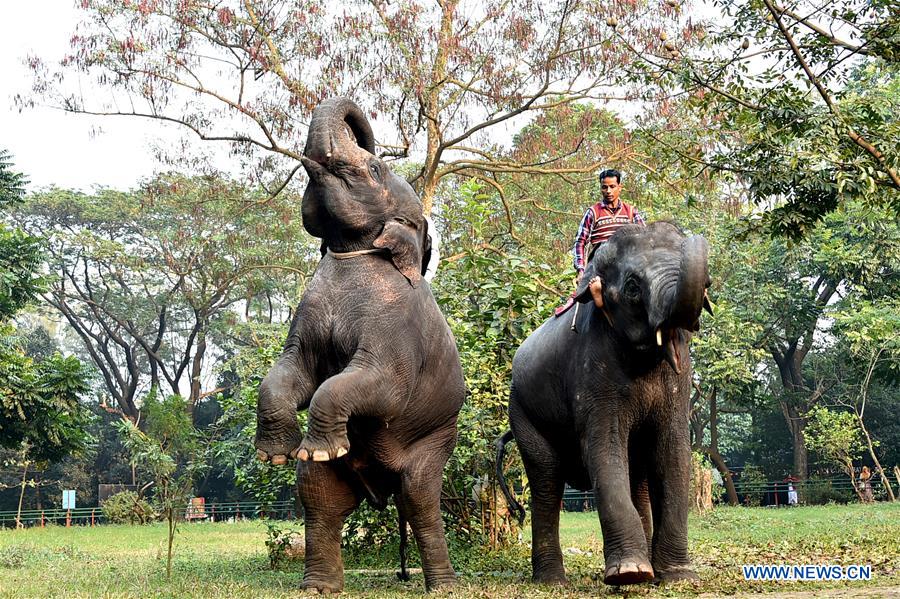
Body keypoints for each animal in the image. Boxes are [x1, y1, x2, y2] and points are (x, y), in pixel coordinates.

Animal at [253, 98, 464, 596]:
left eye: (373, 168)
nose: (369, 141)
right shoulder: (307, 314)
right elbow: (294, 372)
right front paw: (274, 455)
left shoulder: (396, 329)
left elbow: (379, 389)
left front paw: (299, 447)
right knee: (319, 498)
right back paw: (318, 585)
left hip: (437, 438)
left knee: (420, 499)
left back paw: (443, 585)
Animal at [500, 223, 712, 588]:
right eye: (632, 288)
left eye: (708, 286)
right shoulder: (592, 371)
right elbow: (604, 448)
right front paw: (630, 574)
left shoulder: (679, 381)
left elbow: (672, 450)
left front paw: (678, 577)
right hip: (523, 413)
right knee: (546, 479)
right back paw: (553, 581)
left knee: (636, 476)